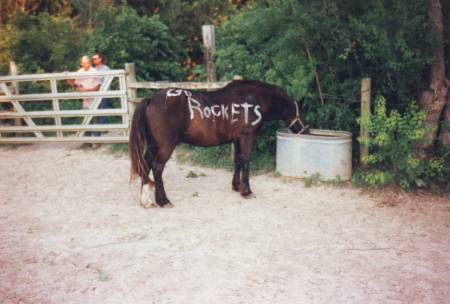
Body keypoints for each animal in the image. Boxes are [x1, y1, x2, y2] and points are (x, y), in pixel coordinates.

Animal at [130, 79, 310, 208]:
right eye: (300, 112)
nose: (307, 131)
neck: (254, 98)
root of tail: (151, 99)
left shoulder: (237, 139)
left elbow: (237, 161)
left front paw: (237, 186)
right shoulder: (247, 137)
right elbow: (246, 162)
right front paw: (247, 191)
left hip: (153, 146)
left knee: (146, 164)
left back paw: (146, 200)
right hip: (166, 146)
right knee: (157, 168)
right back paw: (163, 201)